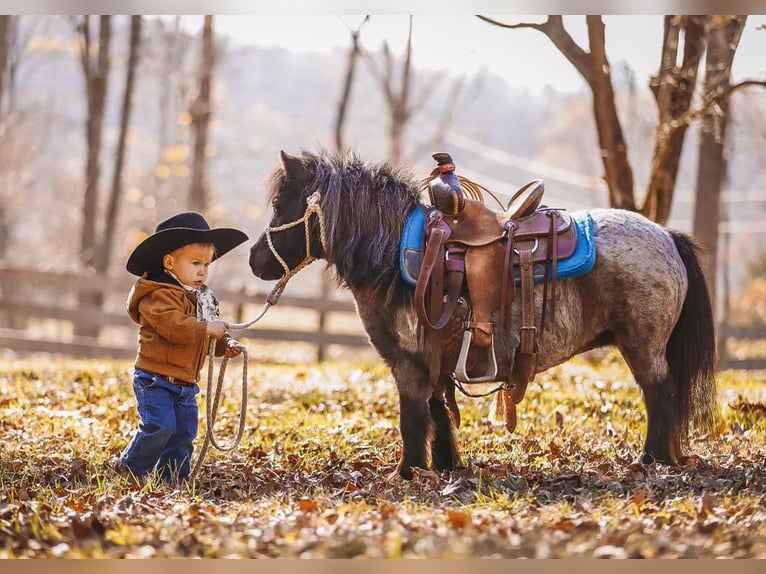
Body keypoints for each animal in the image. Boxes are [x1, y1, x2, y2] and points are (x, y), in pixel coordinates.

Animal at [250, 152, 720, 482]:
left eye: (282, 205)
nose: (255, 261)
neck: (393, 254)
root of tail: (667, 237)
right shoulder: (432, 361)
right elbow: (439, 413)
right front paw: (444, 466)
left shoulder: (407, 363)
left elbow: (412, 419)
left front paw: (407, 472)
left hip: (643, 345)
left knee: (661, 394)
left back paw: (651, 459)